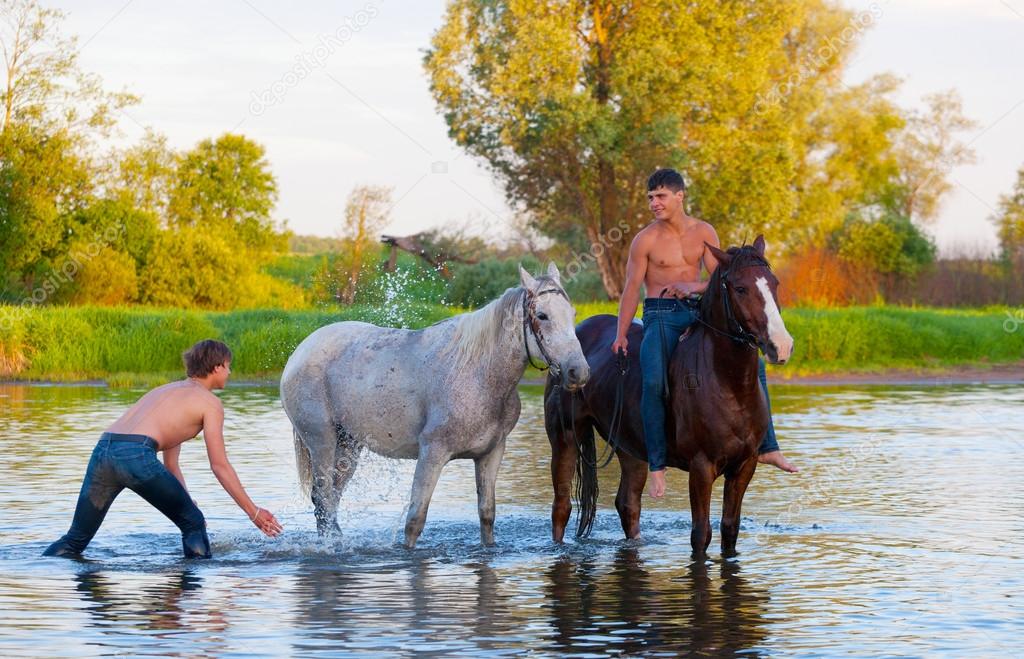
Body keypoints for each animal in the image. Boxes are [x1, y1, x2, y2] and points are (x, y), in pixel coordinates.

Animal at [280, 261, 589, 544]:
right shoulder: (432, 454)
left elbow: (487, 515)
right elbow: (415, 520)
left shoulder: (490, 454)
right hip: (322, 441)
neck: (478, 373)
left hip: (348, 446)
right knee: (323, 498)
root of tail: (300, 352)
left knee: (330, 500)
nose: (579, 372)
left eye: (572, 314)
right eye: (542, 315)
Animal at [544, 236, 790, 556]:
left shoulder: (744, 467)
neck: (729, 386)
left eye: (774, 283)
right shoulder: (701, 467)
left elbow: (729, 530)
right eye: (740, 288)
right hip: (565, 438)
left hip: (631, 447)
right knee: (561, 507)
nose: (781, 346)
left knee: (628, 504)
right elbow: (701, 534)